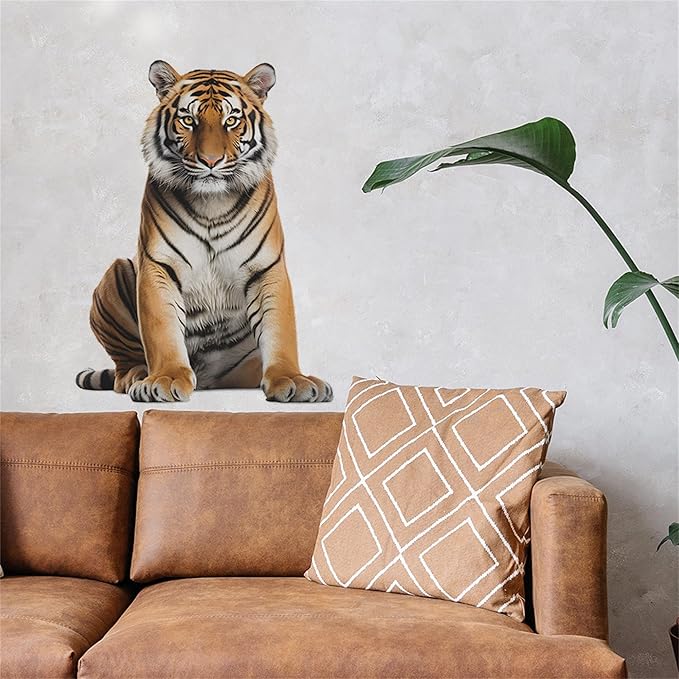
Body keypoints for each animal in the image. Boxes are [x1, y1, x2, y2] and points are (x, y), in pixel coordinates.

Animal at [76, 60, 332, 403]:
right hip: (116, 273)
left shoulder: (266, 268)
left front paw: (291, 379)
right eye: (188, 120)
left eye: (231, 120)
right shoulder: (159, 265)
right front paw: (166, 378)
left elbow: (280, 327)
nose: (210, 161)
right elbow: (161, 327)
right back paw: (138, 375)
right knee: (124, 363)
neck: (213, 203)